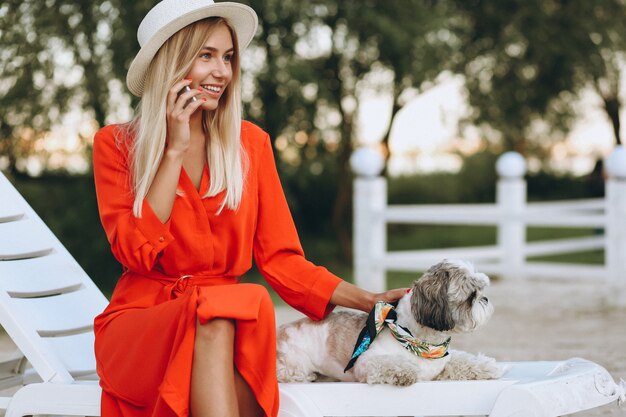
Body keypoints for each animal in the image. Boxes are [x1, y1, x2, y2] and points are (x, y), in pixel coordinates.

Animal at [276, 258, 502, 386]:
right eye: (471, 296)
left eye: (481, 291)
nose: (485, 298)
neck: (419, 341)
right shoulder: (366, 363)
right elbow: (392, 364)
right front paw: (406, 371)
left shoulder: (443, 364)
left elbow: (463, 360)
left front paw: (485, 366)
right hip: (294, 366)